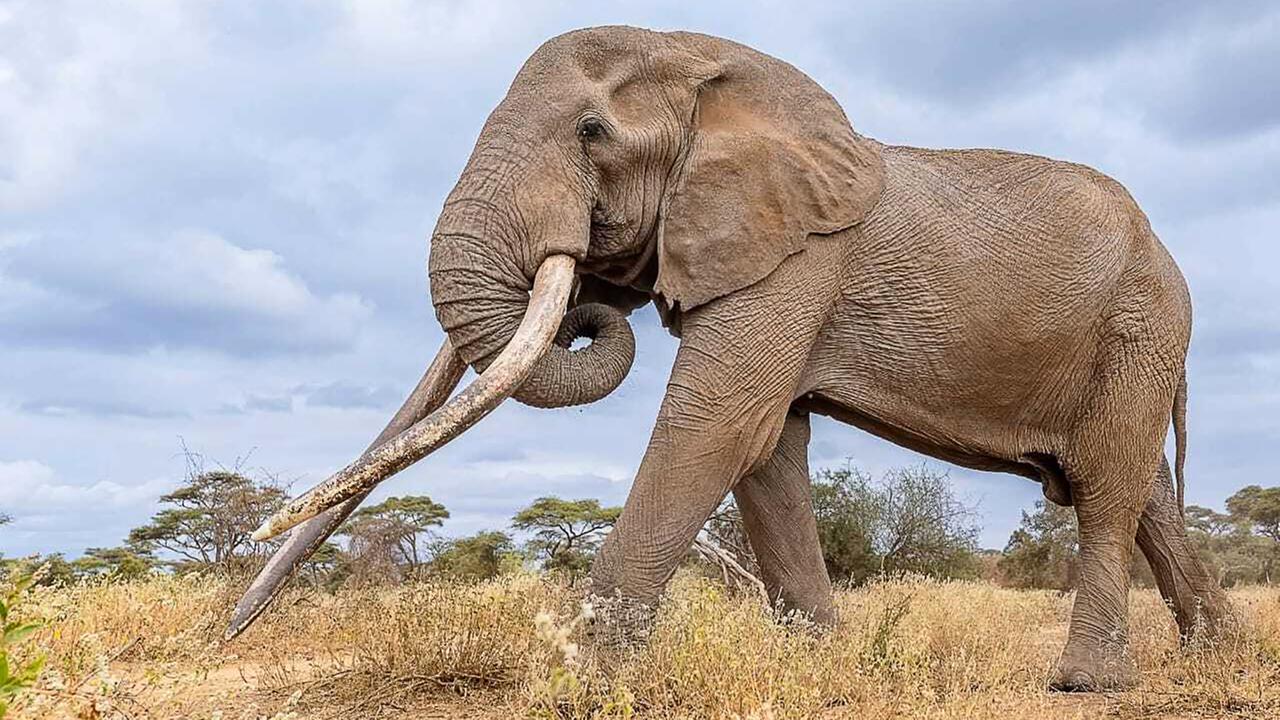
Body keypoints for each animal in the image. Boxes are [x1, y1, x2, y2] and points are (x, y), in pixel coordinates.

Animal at [231, 26, 1231, 691]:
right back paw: (1218, 652)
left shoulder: (798, 259)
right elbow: (767, 451)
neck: (705, 63)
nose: (228, 629)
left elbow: (716, 426)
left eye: (591, 133)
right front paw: (825, 669)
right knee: (1142, 490)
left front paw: (586, 682)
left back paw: (1088, 683)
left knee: (1105, 486)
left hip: (1141, 324)